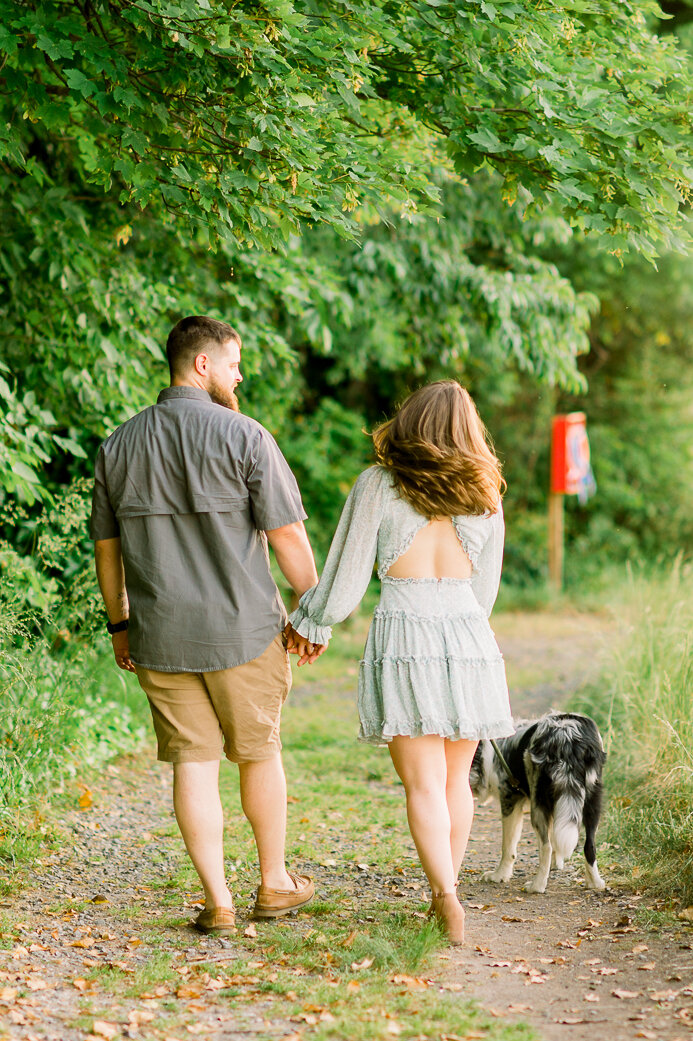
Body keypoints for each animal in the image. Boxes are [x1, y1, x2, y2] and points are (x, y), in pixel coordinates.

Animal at [470, 716, 603, 895]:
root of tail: (566, 735)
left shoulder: (510, 800)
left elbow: (508, 847)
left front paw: (499, 875)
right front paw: (557, 863)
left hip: (537, 806)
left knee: (545, 847)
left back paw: (536, 886)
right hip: (591, 802)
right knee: (590, 845)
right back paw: (595, 883)